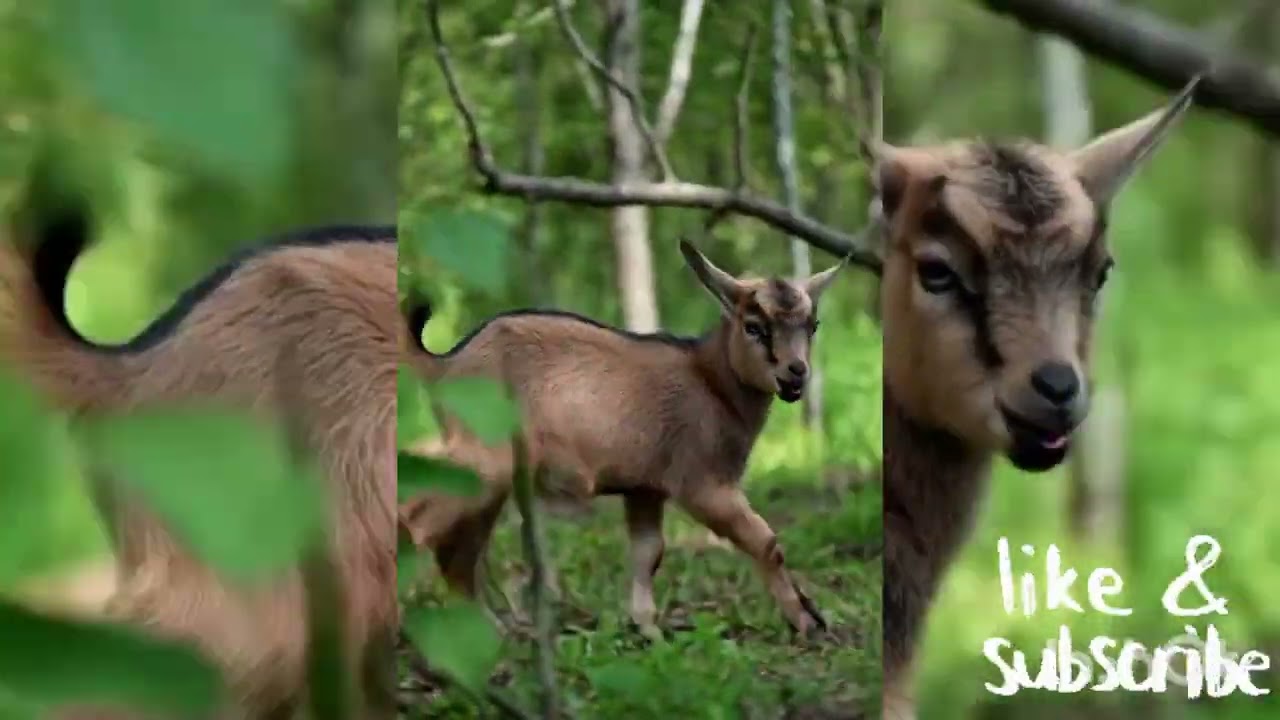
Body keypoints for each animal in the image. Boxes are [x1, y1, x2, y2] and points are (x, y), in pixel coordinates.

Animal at [399, 239, 846, 639]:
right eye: (754, 327)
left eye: (813, 325)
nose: (795, 373)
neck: (710, 382)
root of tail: (446, 364)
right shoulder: (703, 483)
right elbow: (766, 542)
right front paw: (805, 621)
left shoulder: (646, 488)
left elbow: (649, 553)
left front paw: (648, 628)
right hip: (485, 461)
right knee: (417, 517)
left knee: (456, 549)